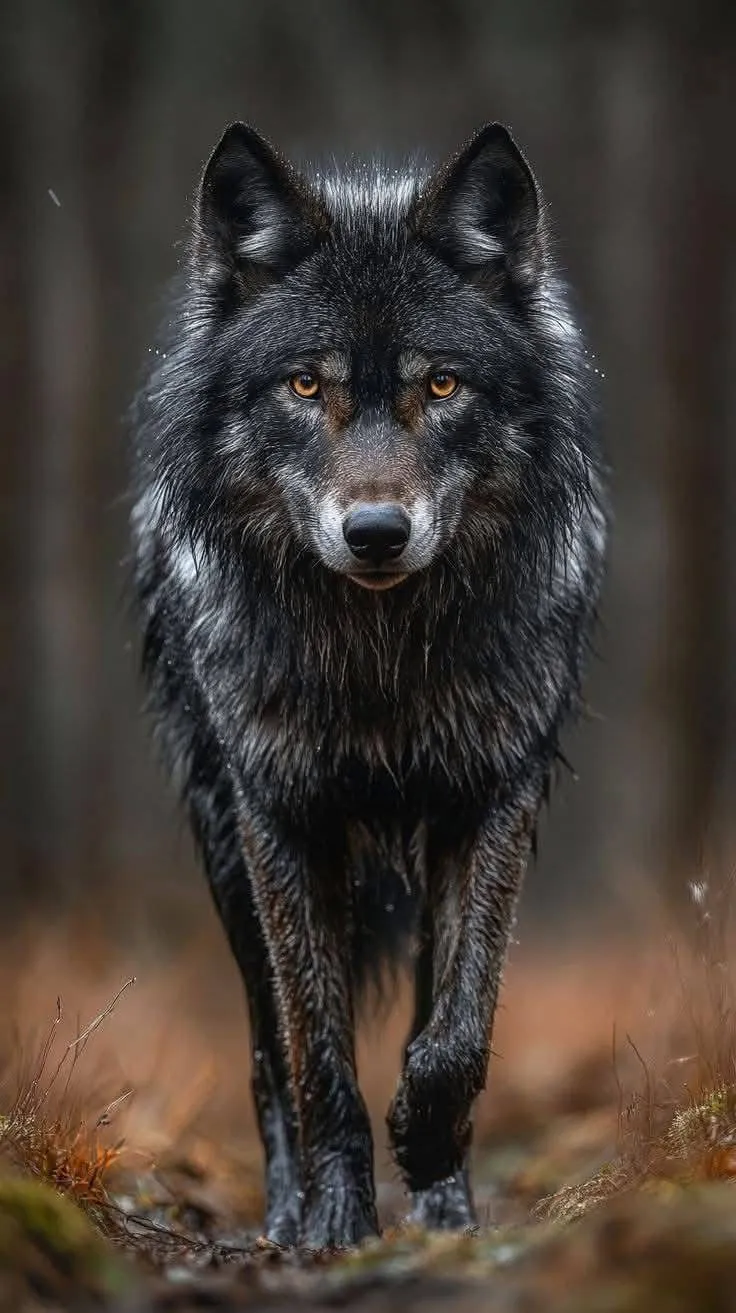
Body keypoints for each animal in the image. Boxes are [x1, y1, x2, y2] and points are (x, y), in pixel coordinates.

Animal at [130, 119, 606, 1250]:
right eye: (307, 386)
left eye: (442, 386)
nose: (377, 531)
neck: (377, 656)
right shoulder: (279, 816)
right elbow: (315, 1051)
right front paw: (336, 1222)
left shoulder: (490, 797)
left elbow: (459, 1023)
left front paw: (430, 1160)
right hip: (225, 850)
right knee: (268, 1050)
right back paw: (289, 1208)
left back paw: (440, 1199)